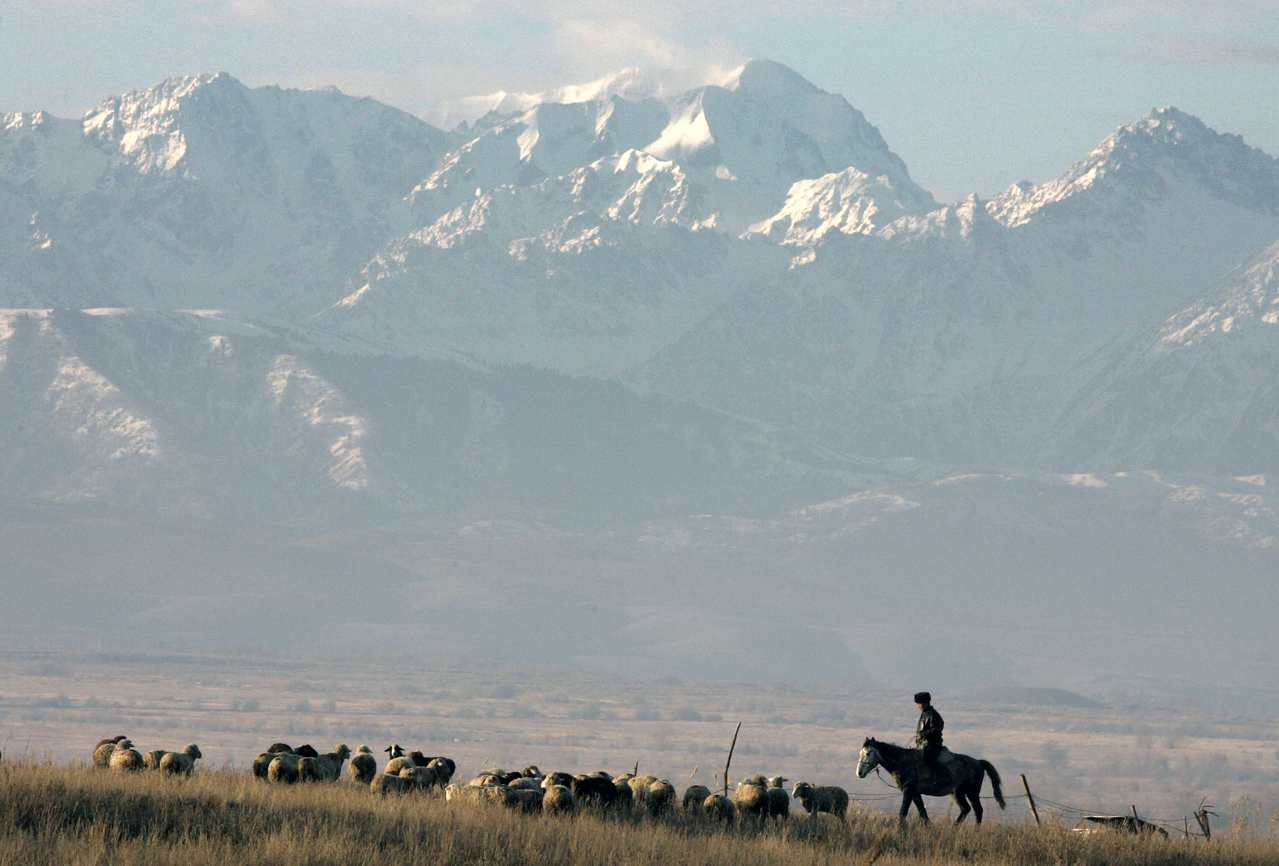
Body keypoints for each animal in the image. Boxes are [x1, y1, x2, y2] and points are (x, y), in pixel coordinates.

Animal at [854, 736, 1002, 823]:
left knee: (978, 810)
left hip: (972, 792)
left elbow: (903, 813)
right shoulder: (915, 793)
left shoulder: (908, 791)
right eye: (860, 753)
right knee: (966, 809)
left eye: (868, 753)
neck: (902, 762)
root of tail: (978, 762)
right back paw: (953, 829)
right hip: (958, 793)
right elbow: (923, 813)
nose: (859, 773)